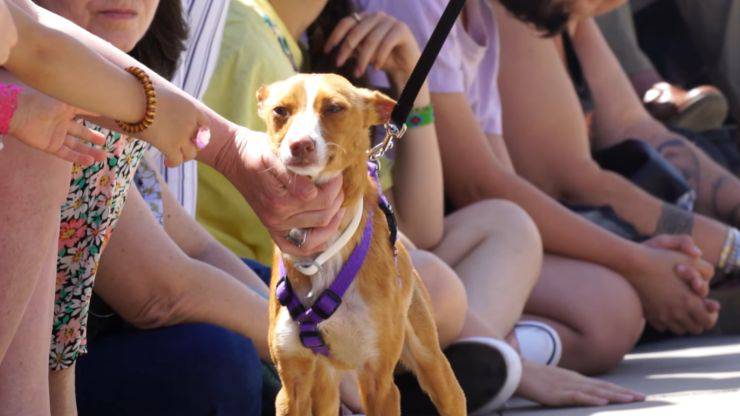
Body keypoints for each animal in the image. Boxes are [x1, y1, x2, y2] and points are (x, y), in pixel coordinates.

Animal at [258, 73, 466, 414]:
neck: (322, 255)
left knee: (449, 390)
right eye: (280, 111)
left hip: (429, 358)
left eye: (334, 108)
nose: (299, 144)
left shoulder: (379, 382)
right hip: (325, 385)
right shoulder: (292, 384)